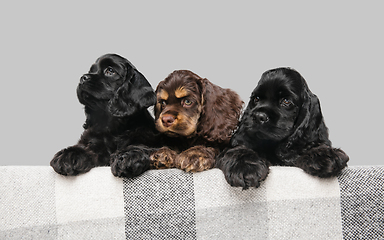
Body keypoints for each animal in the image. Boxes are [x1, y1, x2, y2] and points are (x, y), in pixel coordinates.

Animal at [218, 67, 350, 189]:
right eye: (256, 99)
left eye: (286, 101)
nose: (258, 116)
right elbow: (238, 149)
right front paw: (246, 166)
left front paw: (324, 155)